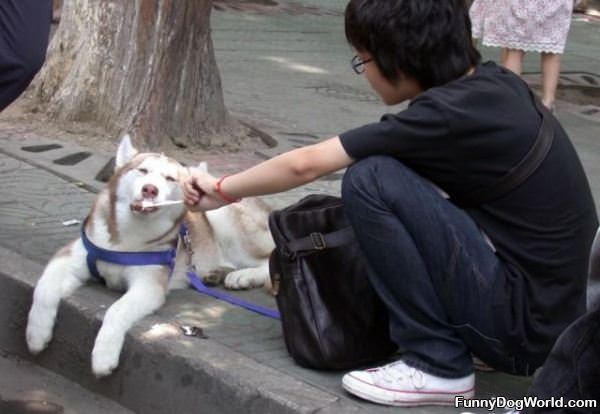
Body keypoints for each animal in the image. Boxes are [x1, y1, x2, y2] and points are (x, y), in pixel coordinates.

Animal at [25, 135, 274, 376]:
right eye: (143, 171)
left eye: (170, 178)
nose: (150, 189)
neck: (127, 239)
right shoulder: (68, 258)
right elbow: (44, 289)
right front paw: (36, 333)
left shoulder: (148, 284)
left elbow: (116, 310)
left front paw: (104, 356)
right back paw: (215, 273)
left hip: (223, 218)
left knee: (268, 258)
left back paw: (244, 276)